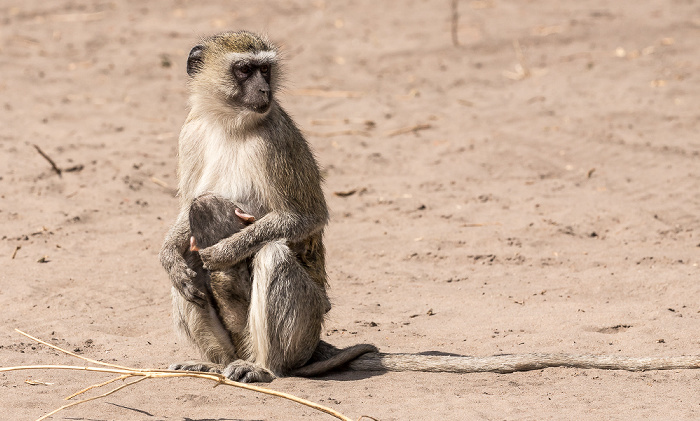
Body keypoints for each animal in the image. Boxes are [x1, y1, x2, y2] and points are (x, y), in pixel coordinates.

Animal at [160, 31, 700, 382]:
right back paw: (210, 359)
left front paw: (223, 251)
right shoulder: (190, 131)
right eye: (243, 69)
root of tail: (314, 345)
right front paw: (171, 254)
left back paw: (264, 367)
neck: (230, 123)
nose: (264, 91)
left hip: (308, 324)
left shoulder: (278, 138)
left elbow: (303, 217)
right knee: (187, 279)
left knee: (273, 254)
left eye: (265, 68)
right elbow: (184, 222)